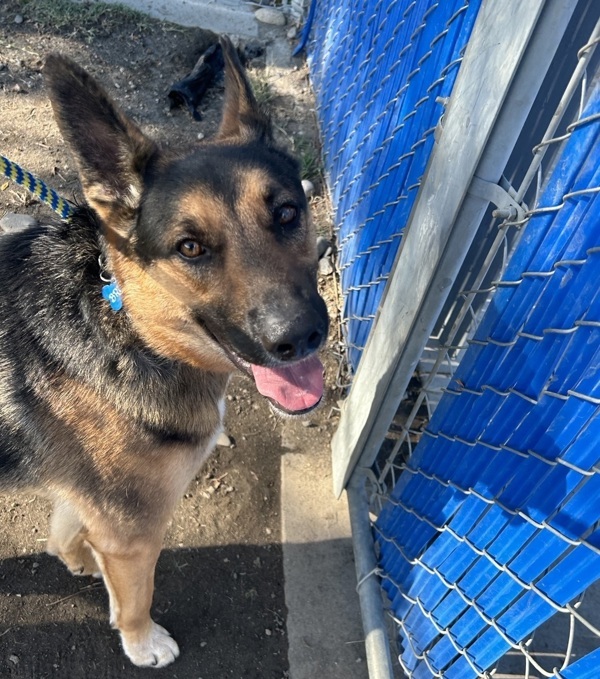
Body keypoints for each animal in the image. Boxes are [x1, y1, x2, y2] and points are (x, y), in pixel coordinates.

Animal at [0, 38, 328, 668]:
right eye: (190, 248)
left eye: (286, 213)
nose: (299, 337)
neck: (127, 329)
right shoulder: (134, 533)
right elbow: (136, 595)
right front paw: (141, 640)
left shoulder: (97, 503)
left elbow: (69, 527)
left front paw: (77, 559)